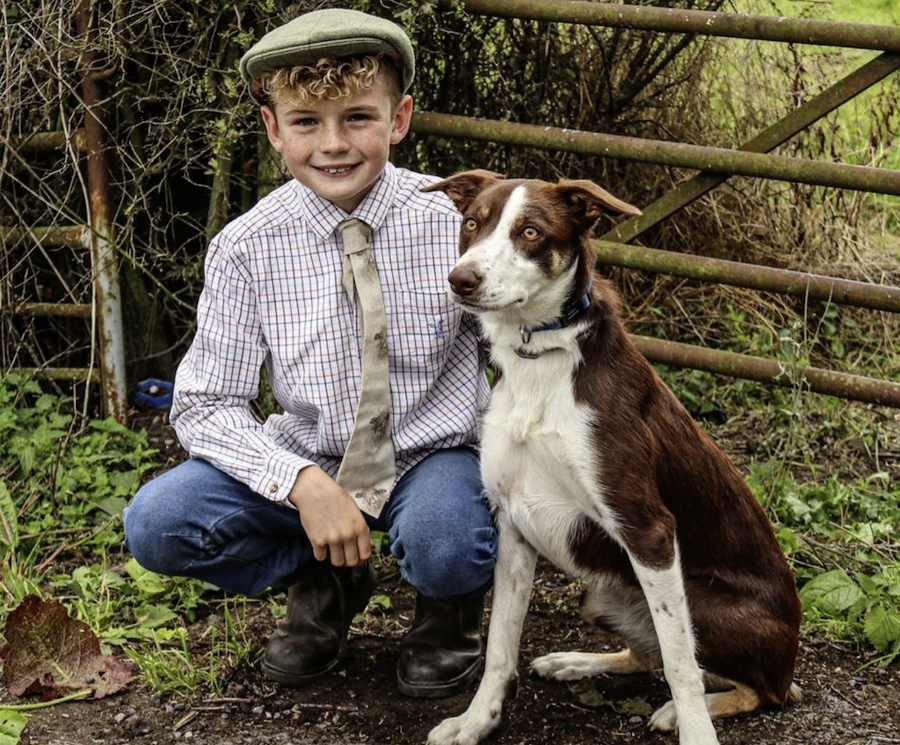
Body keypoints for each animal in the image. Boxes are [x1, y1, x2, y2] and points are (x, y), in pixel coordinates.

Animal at [422, 171, 800, 744]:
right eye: (471, 223)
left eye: (530, 232)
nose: (460, 280)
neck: (539, 356)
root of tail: (791, 656)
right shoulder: (511, 524)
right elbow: (500, 644)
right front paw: (477, 720)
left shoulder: (648, 528)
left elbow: (681, 665)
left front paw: (696, 732)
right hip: (603, 594)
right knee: (646, 654)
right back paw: (575, 662)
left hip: (701, 602)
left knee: (754, 688)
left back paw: (685, 710)